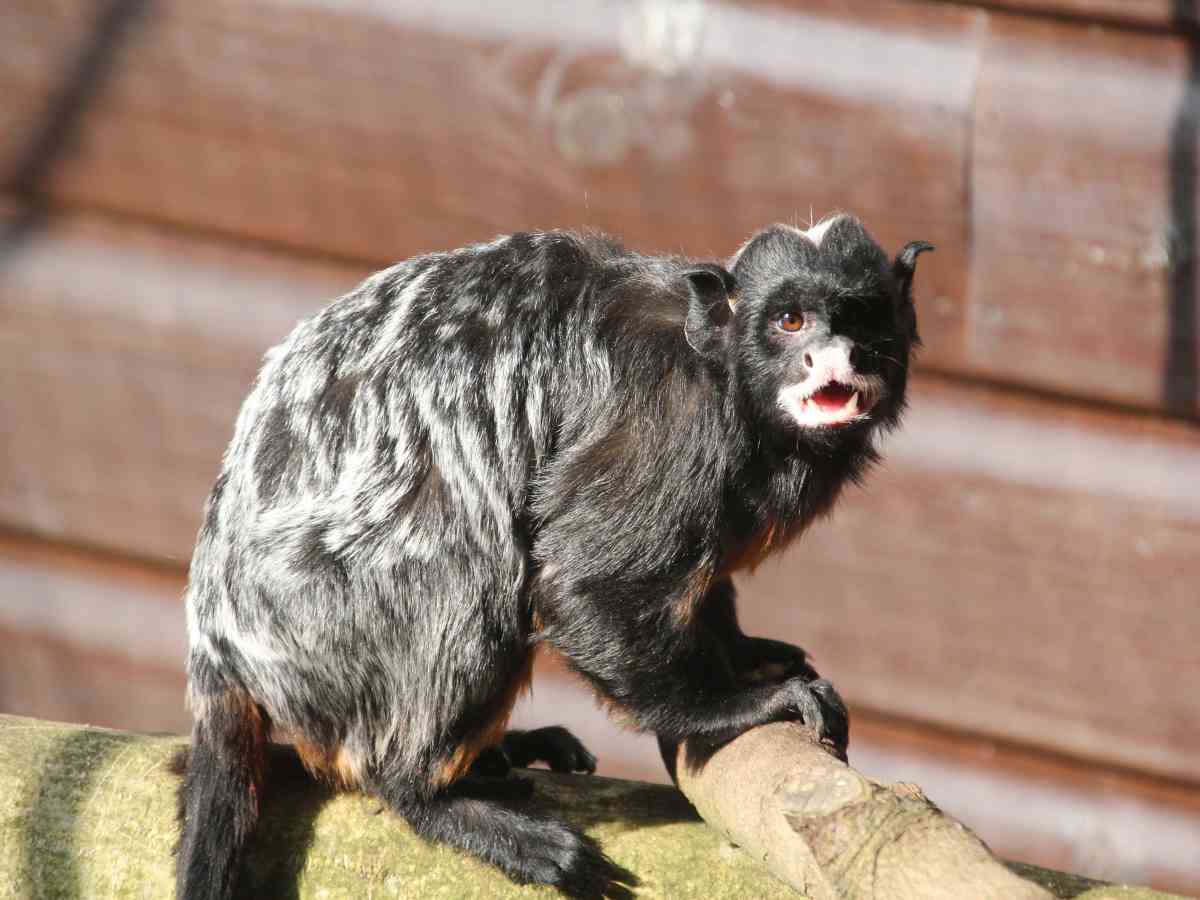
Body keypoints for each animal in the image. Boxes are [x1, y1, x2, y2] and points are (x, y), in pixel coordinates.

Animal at [174, 216, 931, 899]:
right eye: (791, 322)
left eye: (858, 317)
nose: (831, 357)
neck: (724, 377)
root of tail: (219, 641)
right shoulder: (669, 421)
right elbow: (585, 579)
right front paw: (732, 707)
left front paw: (743, 653)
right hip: (324, 612)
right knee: (469, 575)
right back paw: (431, 795)